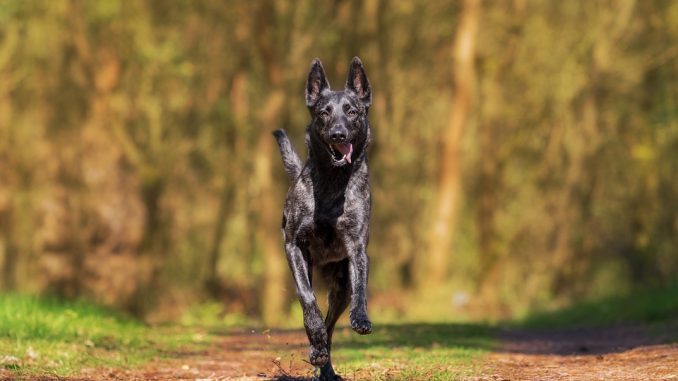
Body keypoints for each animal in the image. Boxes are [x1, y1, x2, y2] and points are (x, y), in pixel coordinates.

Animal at [274, 57, 374, 380]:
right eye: (324, 112)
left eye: (352, 111)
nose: (338, 134)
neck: (333, 181)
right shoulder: (294, 246)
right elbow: (308, 300)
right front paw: (314, 339)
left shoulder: (357, 248)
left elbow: (361, 288)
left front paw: (361, 318)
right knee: (319, 318)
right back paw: (317, 351)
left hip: (340, 287)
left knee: (332, 324)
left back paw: (326, 367)